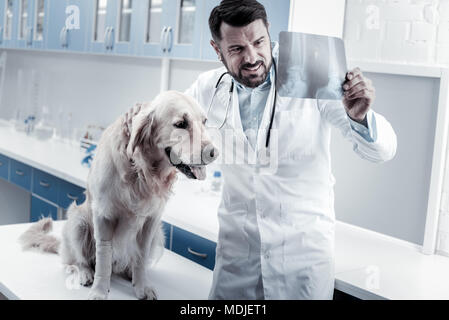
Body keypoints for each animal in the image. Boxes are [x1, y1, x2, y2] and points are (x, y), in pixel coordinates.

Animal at [19, 90, 219, 300]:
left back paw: (130, 272)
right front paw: (99, 290)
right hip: (78, 221)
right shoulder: (103, 216)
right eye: (181, 124)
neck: (140, 171)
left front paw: (142, 286)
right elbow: (103, 258)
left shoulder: (151, 220)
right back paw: (85, 272)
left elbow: (141, 257)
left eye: (204, 122)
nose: (215, 153)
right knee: (77, 260)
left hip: (158, 234)